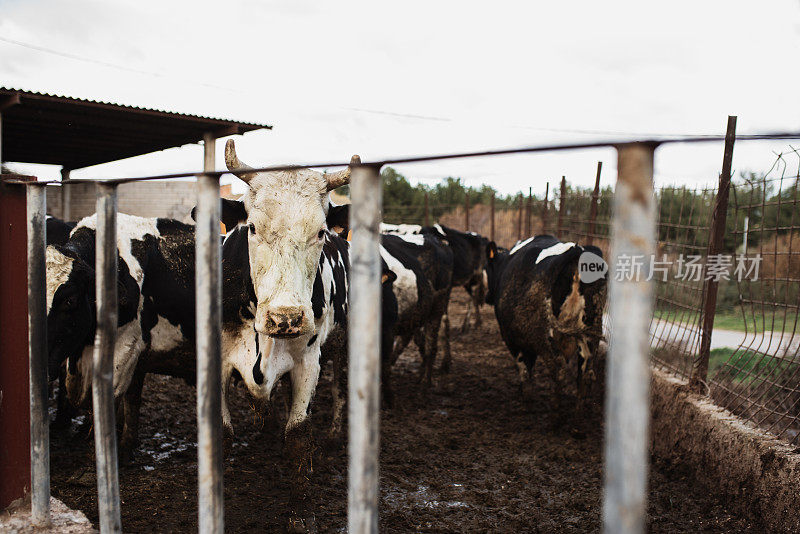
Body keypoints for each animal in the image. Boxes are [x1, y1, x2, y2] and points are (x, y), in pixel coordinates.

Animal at [482, 234, 608, 414]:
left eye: (487, 268)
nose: (487, 297)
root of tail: (576, 251)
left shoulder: (514, 340)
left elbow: (524, 369)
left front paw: (526, 400)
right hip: (591, 335)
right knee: (585, 374)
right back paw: (577, 414)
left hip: (544, 338)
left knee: (558, 370)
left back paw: (555, 413)